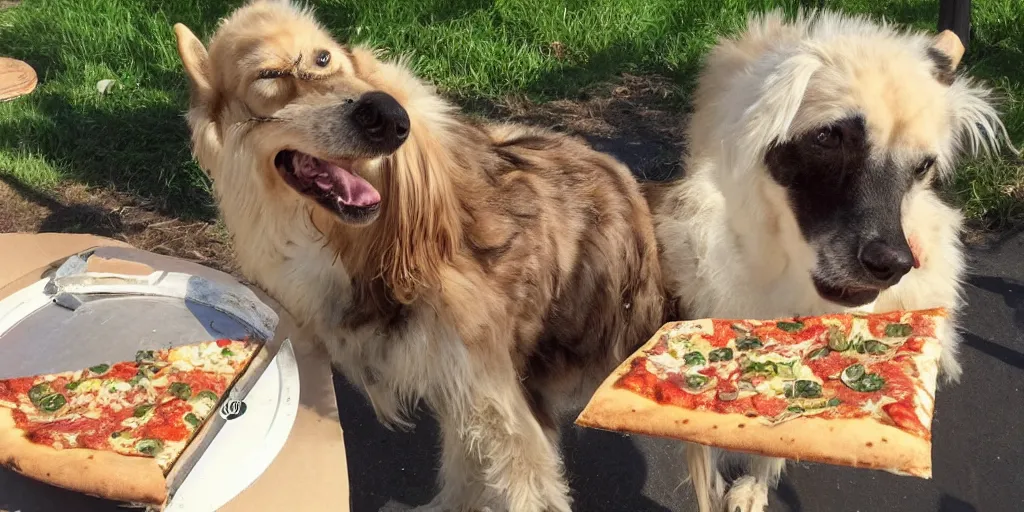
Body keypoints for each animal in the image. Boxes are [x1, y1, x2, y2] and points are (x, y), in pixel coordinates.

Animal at [172, 2, 667, 509]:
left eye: (325, 59)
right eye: (270, 74)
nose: (389, 115)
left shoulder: (499, 406)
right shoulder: (462, 390)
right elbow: (463, 470)